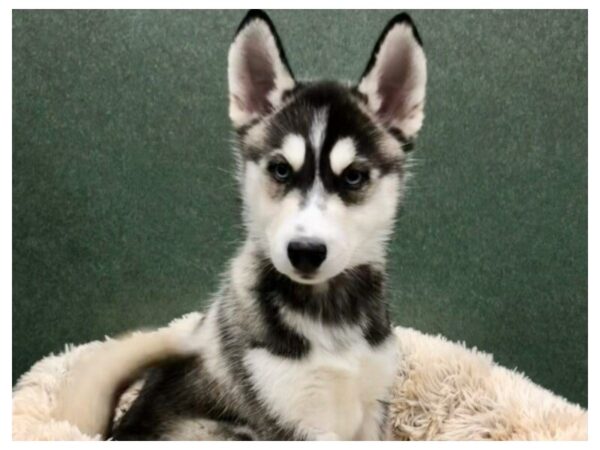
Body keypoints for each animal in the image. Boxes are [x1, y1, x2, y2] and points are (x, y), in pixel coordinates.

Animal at [108, 10, 426, 442]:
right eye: (280, 169)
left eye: (353, 177)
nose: (305, 252)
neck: (328, 311)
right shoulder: (291, 421)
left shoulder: (374, 409)